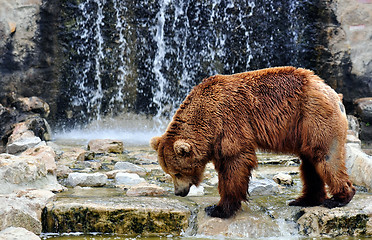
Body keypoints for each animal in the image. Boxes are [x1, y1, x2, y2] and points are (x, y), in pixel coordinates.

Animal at [150, 66, 356, 218]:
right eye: (168, 172)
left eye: (177, 172)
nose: (178, 192)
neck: (206, 118)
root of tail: (332, 92)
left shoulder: (230, 122)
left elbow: (234, 163)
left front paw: (219, 209)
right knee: (309, 163)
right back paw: (305, 199)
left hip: (314, 115)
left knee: (325, 156)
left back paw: (338, 198)